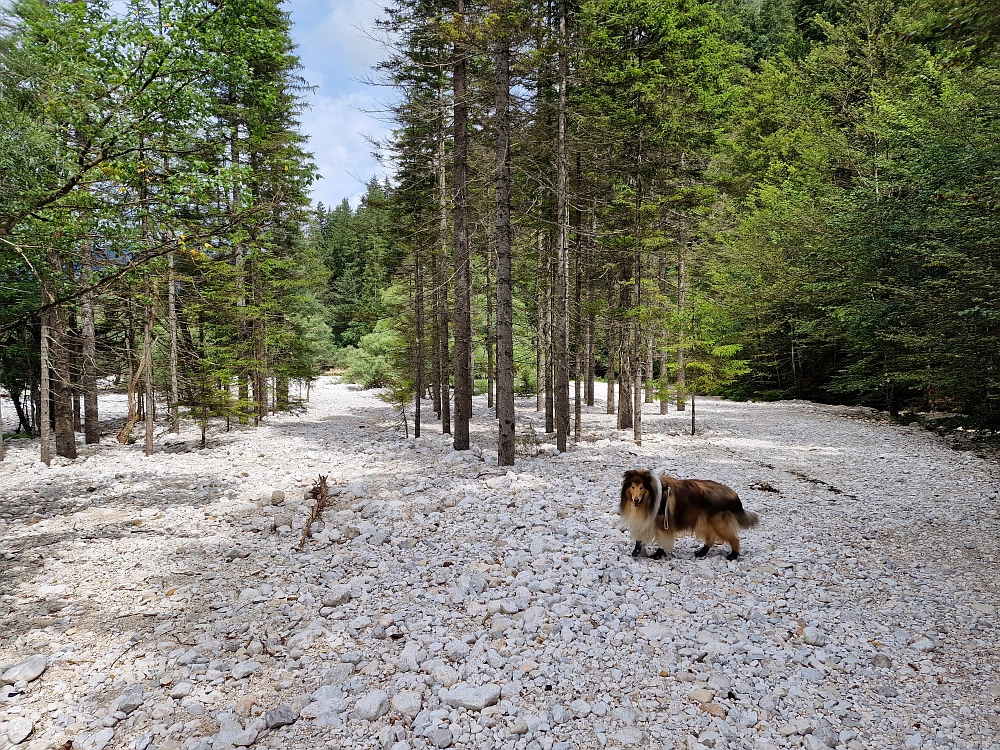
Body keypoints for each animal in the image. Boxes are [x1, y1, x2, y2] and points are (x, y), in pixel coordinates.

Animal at [616, 472, 756, 560]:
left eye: (642, 487)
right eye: (632, 487)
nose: (636, 500)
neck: (652, 496)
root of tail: (733, 493)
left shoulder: (663, 525)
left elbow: (662, 541)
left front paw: (658, 555)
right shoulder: (647, 521)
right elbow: (639, 539)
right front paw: (636, 551)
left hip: (718, 524)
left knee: (734, 539)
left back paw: (733, 555)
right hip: (705, 522)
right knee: (710, 539)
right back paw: (701, 553)